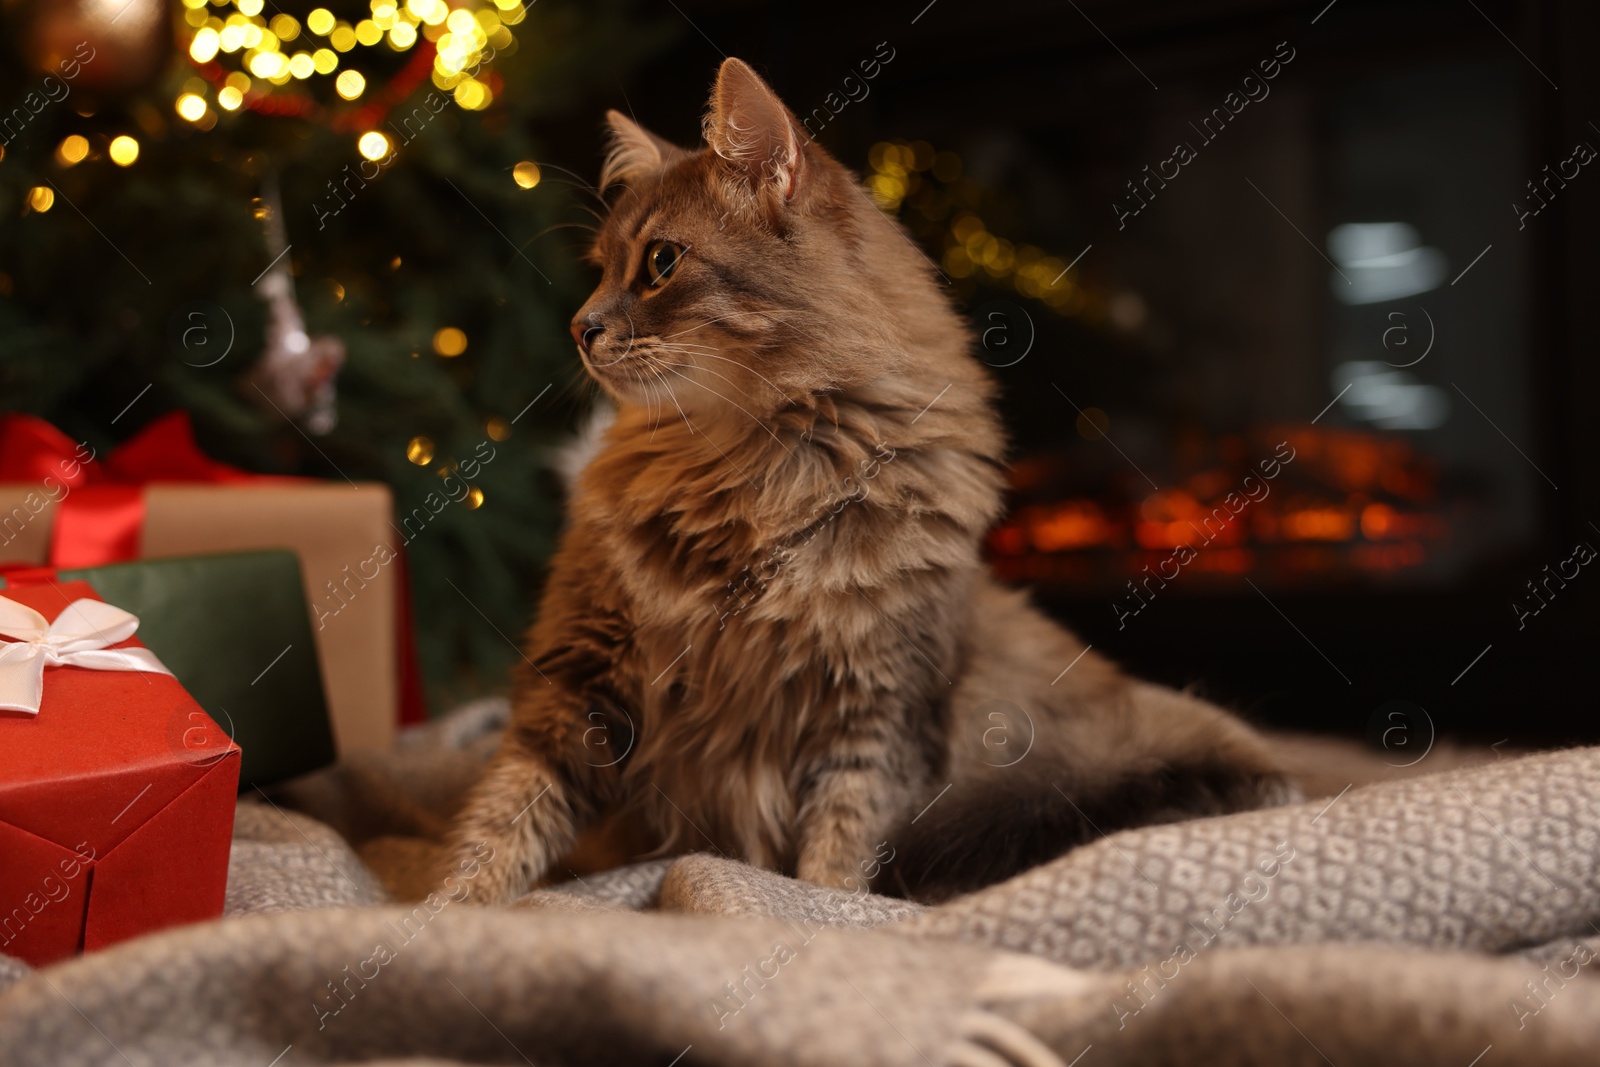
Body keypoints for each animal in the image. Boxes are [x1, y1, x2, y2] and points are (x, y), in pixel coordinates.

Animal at [444, 58, 1292, 908]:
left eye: (661, 262)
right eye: (600, 271)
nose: (580, 328)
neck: (751, 479)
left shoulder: (877, 715)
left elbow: (837, 860)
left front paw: (823, 913)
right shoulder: (577, 682)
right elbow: (499, 823)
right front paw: (447, 912)